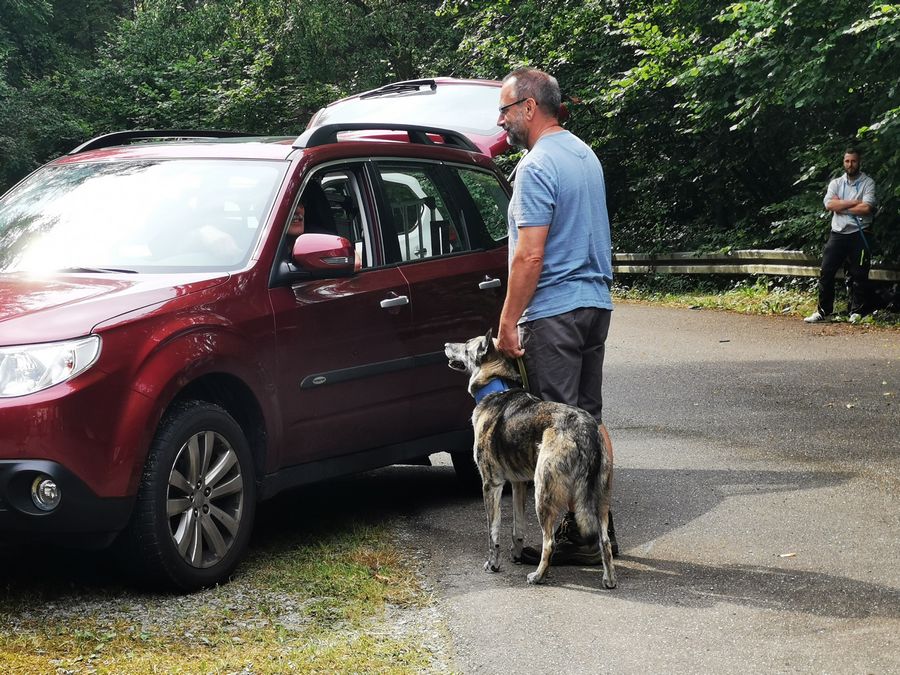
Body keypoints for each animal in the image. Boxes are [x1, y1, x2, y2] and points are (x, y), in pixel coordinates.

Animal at [444, 329, 616, 588]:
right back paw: (609, 578)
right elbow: (517, 529)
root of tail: (585, 430)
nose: (445, 344)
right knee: (603, 540)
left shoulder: (491, 485)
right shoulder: (518, 485)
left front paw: (493, 564)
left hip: (543, 493)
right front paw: (516, 554)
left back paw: (539, 575)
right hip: (599, 497)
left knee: (549, 542)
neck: (496, 388)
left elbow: (493, 532)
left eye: (465, 347)